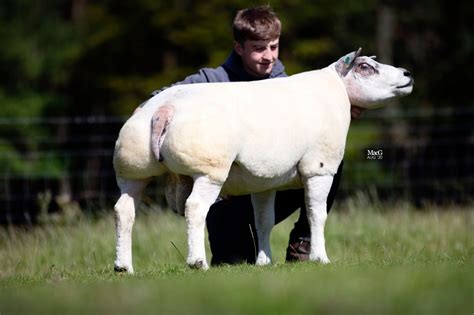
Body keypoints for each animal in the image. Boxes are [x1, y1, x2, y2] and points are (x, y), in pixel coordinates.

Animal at [113, 48, 412, 274]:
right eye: (365, 67)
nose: (407, 75)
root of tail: (164, 110)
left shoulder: (263, 182)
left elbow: (263, 222)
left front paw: (264, 261)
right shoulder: (319, 169)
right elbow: (317, 214)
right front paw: (320, 258)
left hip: (133, 171)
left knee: (123, 211)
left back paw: (123, 266)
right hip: (208, 170)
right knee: (195, 208)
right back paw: (197, 262)